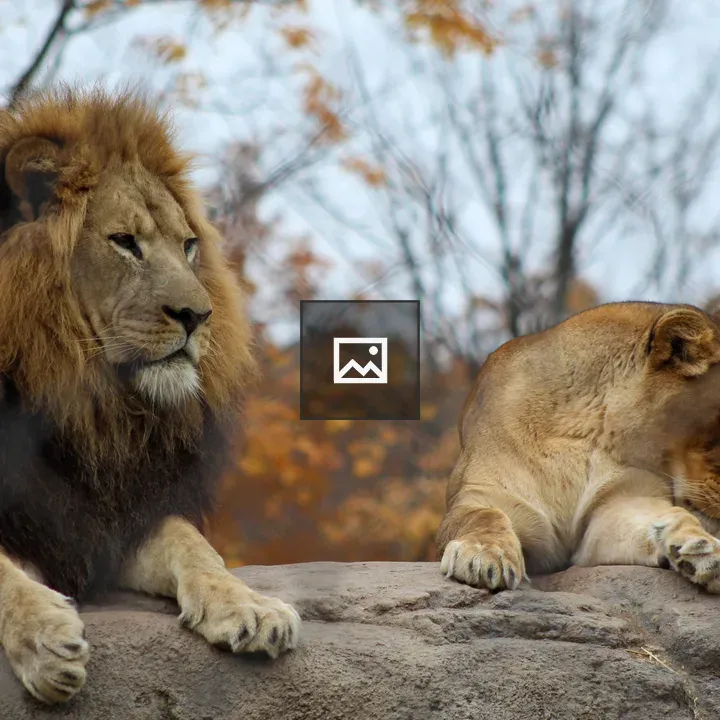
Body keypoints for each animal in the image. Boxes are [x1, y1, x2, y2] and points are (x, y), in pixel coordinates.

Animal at [0, 86, 300, 704]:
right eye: (124, 243)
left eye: (187, 246)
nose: (198, 315)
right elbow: (0, 573)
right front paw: (45, 639)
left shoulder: (116, 514)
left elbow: (194, 544)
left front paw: (252, 607)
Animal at [437, 301, 720, 594]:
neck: (585, 433)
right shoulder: (482, 494)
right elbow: (482, 516)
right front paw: (484, 554)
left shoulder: (614, 505)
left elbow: (667, 516)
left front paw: (700, 547)